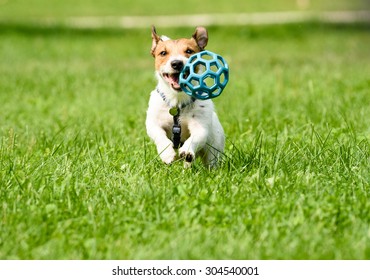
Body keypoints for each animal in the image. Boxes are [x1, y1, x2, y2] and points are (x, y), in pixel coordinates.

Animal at [146, 25, 224, 167]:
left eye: (189, 51)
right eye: (163, 53)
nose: (177, 63)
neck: (177, 101)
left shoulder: (200, 125)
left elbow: (196, 137)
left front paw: (187, 151)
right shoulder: (154, 122)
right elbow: (159, 135)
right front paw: (167, 154)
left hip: (214, 147)